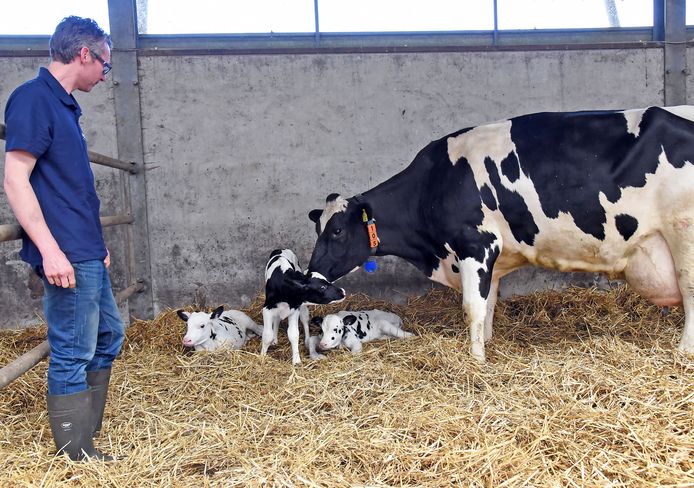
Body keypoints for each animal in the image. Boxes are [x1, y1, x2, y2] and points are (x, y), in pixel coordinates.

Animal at [308, 106, 694, 362]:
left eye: (337, 230)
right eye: (317, 227)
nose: (312, 278)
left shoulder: (475, 244)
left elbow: (472, 307)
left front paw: (476, 360)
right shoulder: (491, 255)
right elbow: (489, 303)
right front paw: (488, 343)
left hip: (684, 236)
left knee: (689, 291)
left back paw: (683, 350)